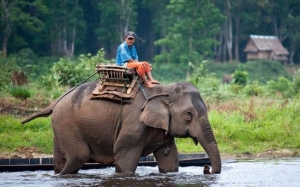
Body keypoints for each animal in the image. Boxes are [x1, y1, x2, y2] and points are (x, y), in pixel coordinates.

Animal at [22, 81, 220, 175]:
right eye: (188, 115)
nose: (207, 168)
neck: (163, 90)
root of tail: (55, 102)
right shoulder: (135, 122)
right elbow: (124, 153)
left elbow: (169, 160)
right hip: (68, 124)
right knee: (79, 156)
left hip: (61, 127)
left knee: (61, 159)